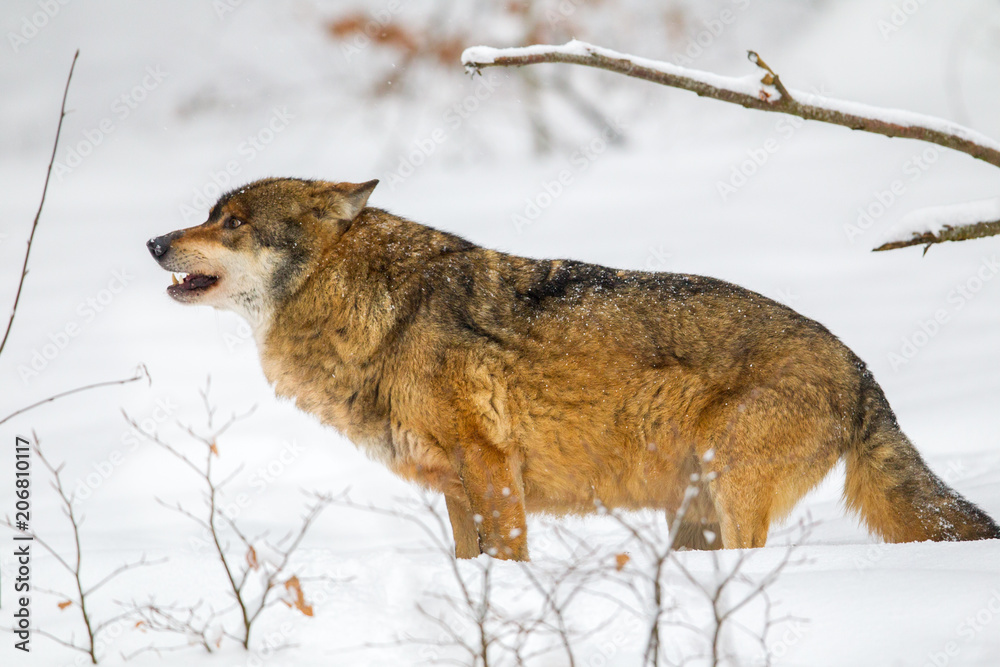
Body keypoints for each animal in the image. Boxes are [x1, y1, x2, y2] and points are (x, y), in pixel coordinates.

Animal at [147, 177, 999, 560]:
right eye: (210, 214)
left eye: (233, 222)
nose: (154, 241)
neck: (378, 312)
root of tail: (861, 366)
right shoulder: (455, 488)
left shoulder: (494, 468)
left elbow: (511, 554)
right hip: (690, 513)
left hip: (729, 493)